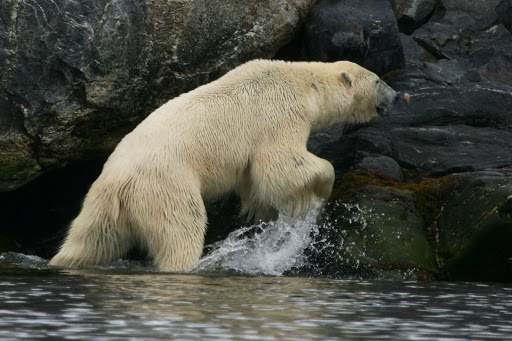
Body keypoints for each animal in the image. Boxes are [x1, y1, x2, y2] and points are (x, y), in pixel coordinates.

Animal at [49, 59, 400, 270]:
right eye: (378, 80)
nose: (397, 96)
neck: (302, 82)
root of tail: (117, 182)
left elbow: (255, 182)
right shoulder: (279, 112)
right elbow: (278, 165)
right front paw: (319, 190)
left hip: (103, 203)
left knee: (91, 240)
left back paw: (62, 261)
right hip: (166, 187)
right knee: (181, 230)